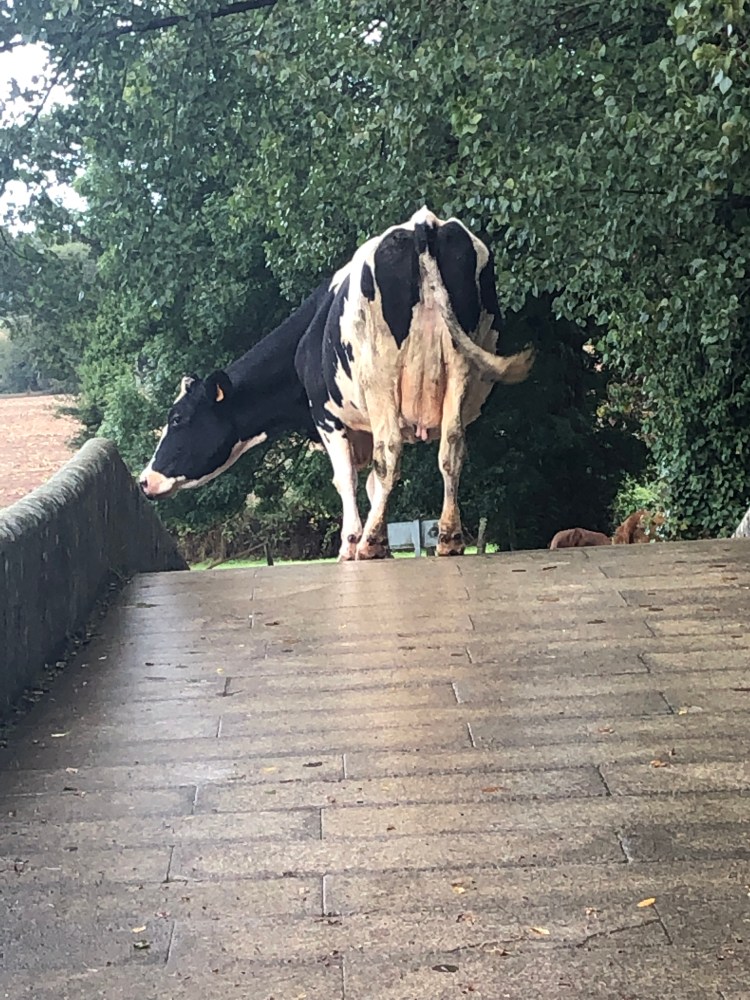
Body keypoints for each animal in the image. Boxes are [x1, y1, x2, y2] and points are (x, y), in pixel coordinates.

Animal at [139, 208, 534, 560]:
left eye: (177, 419)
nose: (144, 480)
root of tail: (423, 224)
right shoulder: (364, 424)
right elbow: (373, 484)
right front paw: (382, 544)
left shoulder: (326, 416)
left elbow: (346, 478)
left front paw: (353, 542)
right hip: (459, 369)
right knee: (451, 449)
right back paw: (449, 539)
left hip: (380, 376)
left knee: (390, 454)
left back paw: (370, 543)